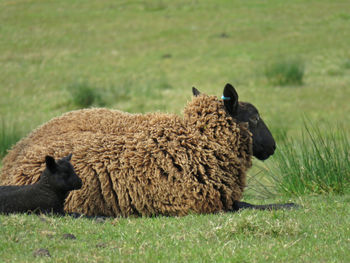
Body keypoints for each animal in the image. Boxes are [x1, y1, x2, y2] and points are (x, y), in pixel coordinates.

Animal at [0, 85, 296, 219]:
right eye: (255, 118)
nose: (273, 147)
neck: (199, 141)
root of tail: (14, 155)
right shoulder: (207, 204)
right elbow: (251, 205)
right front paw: (291, 205)